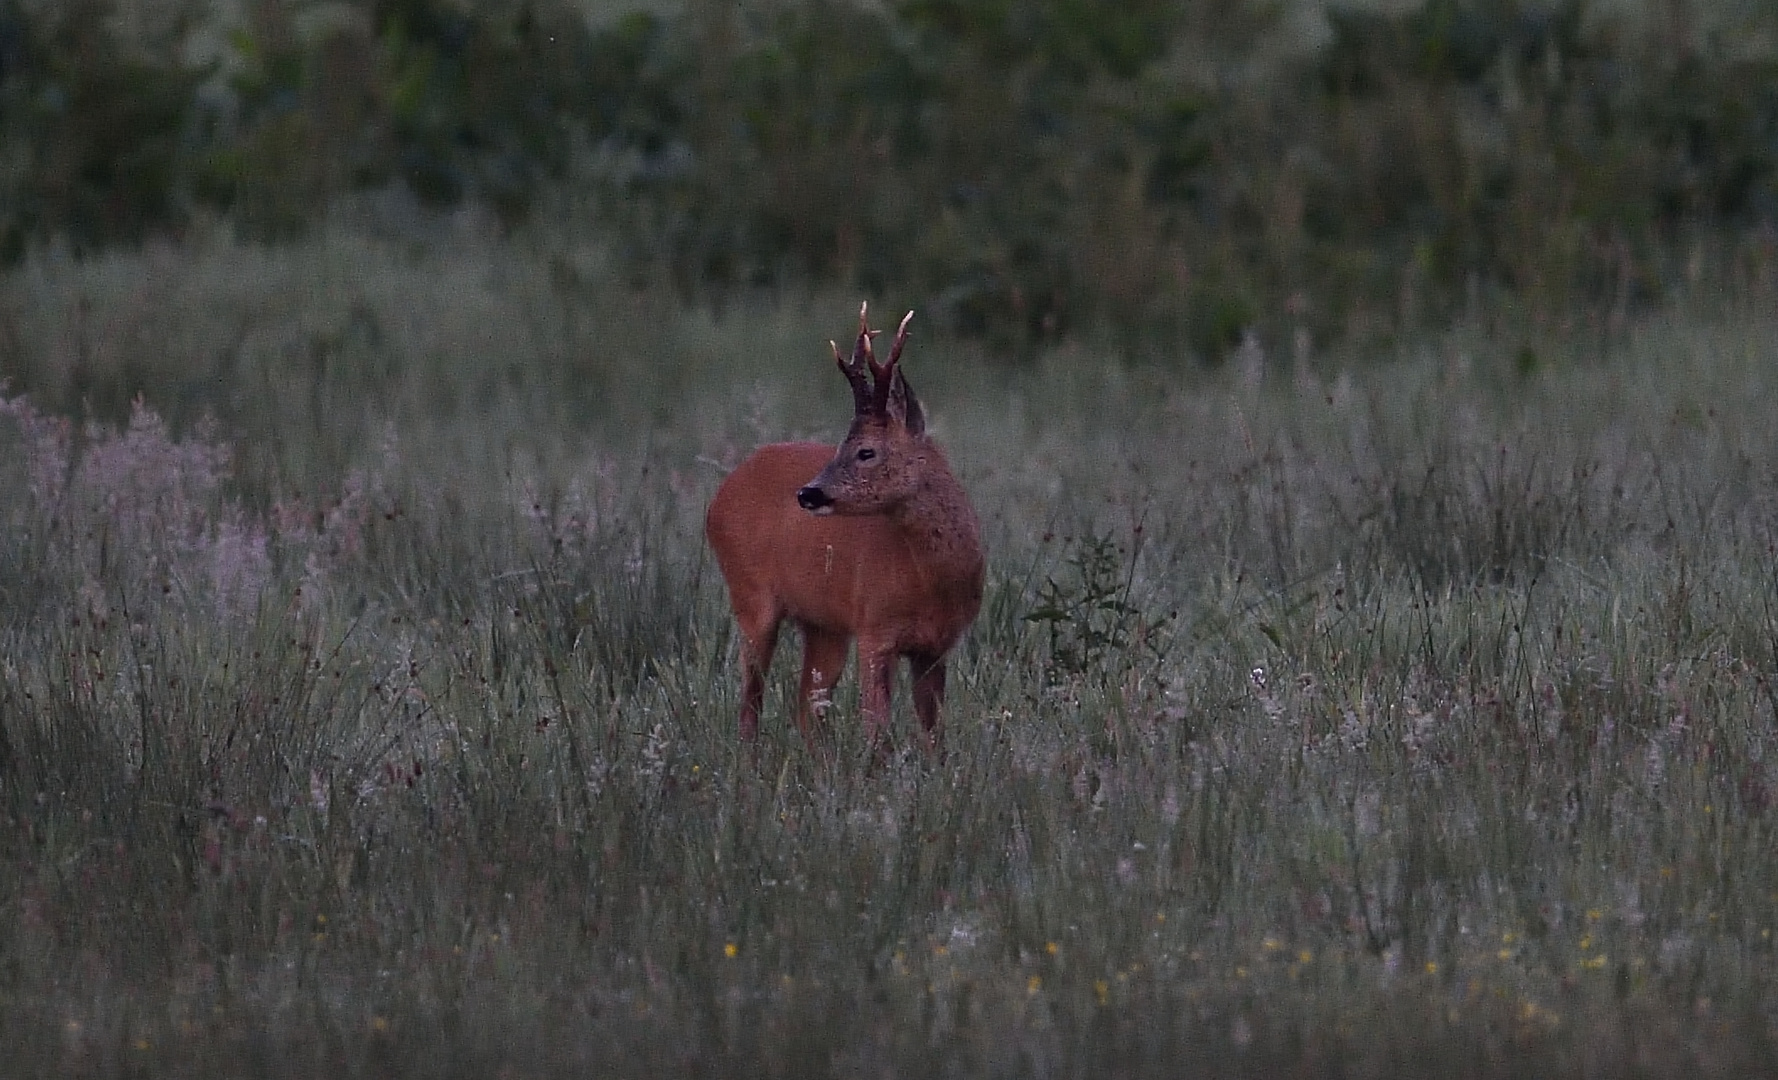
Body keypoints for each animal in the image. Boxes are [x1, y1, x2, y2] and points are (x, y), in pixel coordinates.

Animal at [704, 304, 988, 761]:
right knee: (751, 701)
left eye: (865, 451)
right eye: (839, 446)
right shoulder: (875, 627)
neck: (932, 581)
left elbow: (934, 733)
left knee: (806, 706)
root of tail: (719, 496)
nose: (808, 493)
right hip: (749, 594)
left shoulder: (936, 646)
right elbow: (877, 729)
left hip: (825, 624)